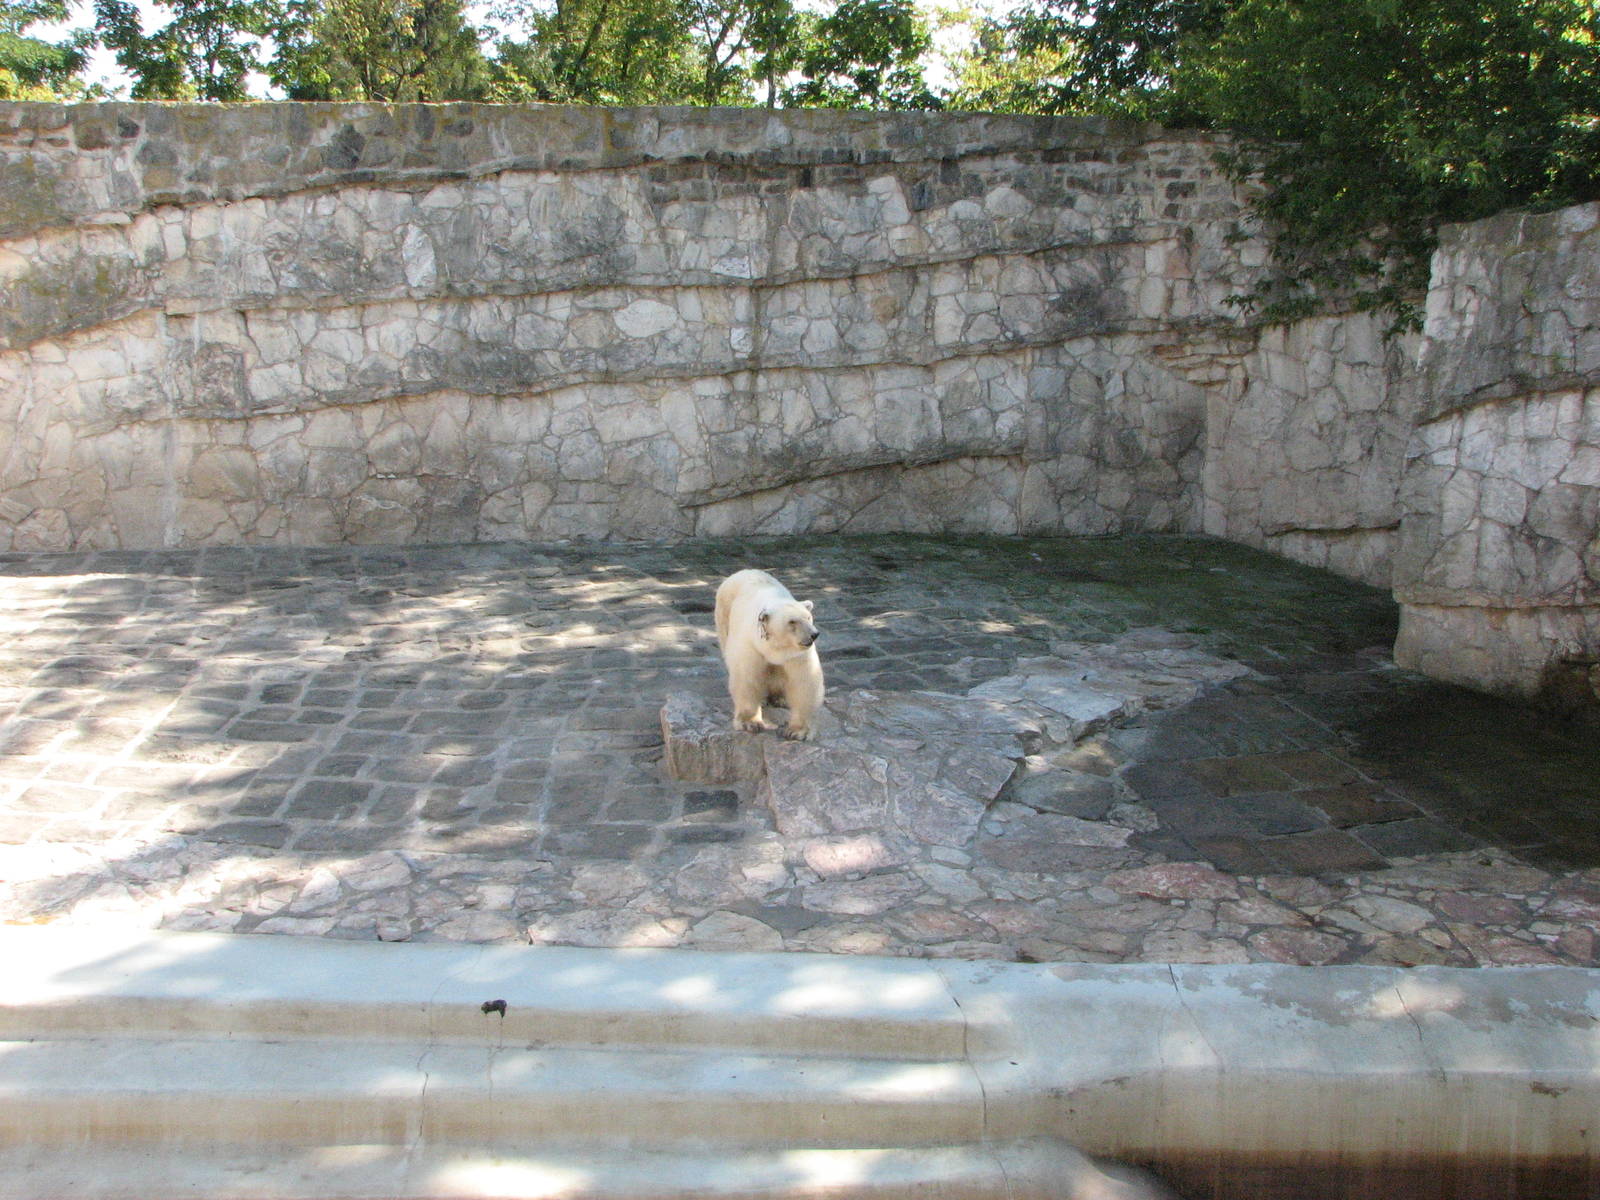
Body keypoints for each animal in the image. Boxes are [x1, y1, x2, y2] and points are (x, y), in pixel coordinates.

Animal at [714, 569, 825, 742]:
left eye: (808, 617)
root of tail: (743, 571)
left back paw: (780, 699)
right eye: (792, 621)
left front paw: (797, 731)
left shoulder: (796, 654)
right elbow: (746, 679)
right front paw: (750, 723)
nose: (814, 634)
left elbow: (804, 682)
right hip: (724, 614)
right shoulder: (751, 646)